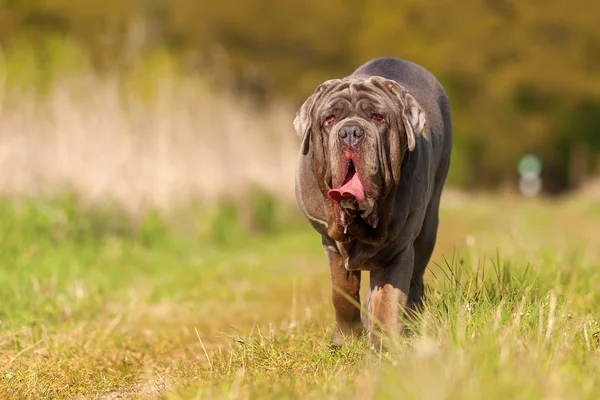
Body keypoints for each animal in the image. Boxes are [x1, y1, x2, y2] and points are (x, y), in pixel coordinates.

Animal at [292, 57, 452, 350]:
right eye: (329, 120)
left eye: (378, 118)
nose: (350, 132)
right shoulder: (331, 244)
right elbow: (342, 294)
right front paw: (344, 339)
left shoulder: (397, 251)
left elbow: (387, 302)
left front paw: (383, 348)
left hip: (428, 226)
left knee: (416, 279)